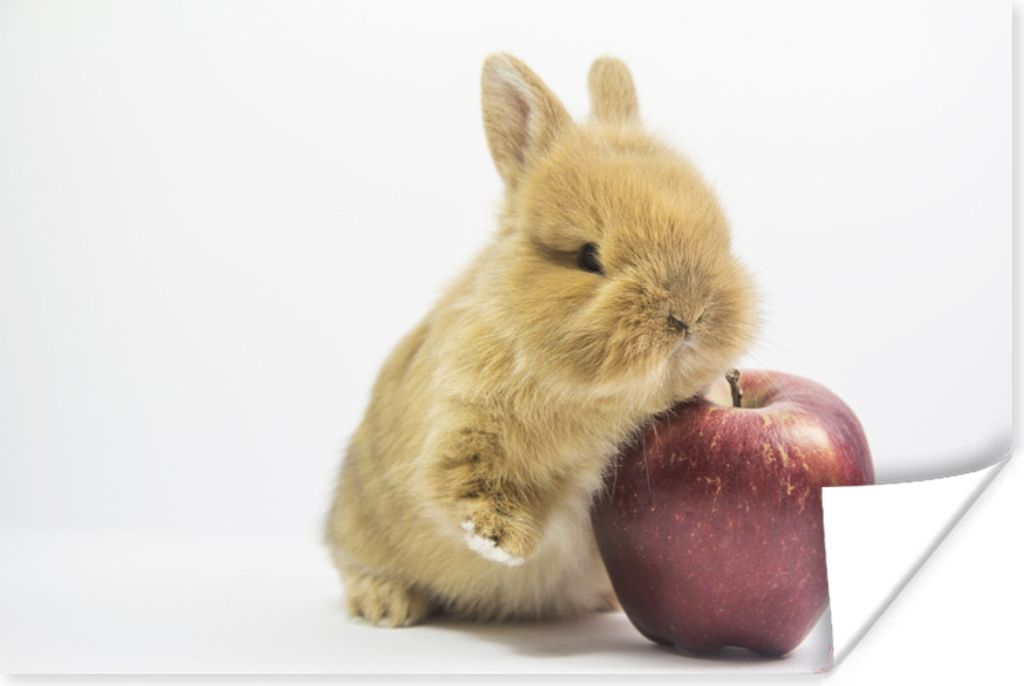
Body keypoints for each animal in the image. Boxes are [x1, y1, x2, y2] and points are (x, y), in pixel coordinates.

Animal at [323, 54, 758, 627]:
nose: (690, 315)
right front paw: (502, 542)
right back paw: (387, 605)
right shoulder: (459, 428)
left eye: (718, 233)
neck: (603, 402)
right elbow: (459, 486)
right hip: (360, 527)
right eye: (588, 257)